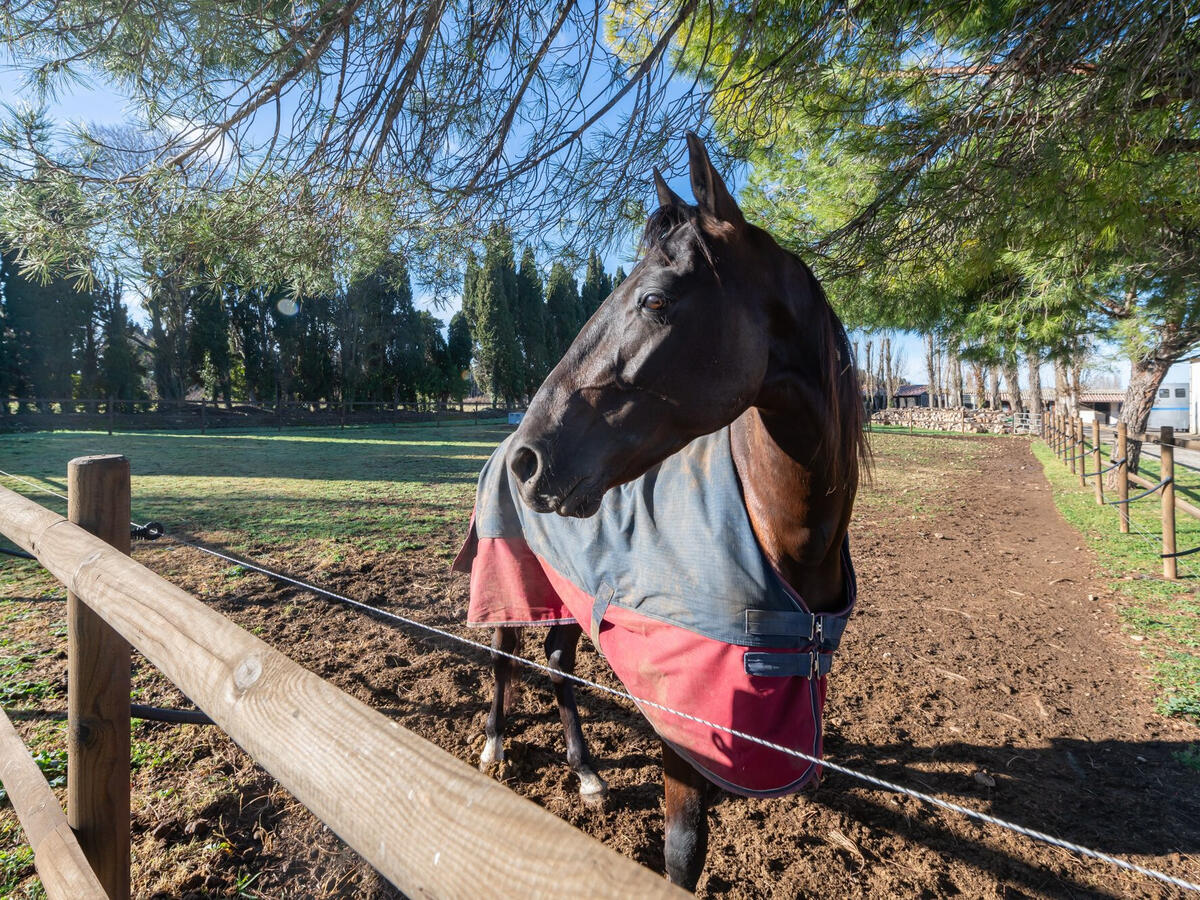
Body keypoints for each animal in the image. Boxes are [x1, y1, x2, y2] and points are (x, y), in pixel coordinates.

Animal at [465, 133, 864, 888]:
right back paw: (496, 746)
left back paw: (588, 775)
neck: (778, 536)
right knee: (504, 655)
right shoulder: (684, 722)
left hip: (570, 593)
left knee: (558, 664)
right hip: (514, 578)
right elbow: (682, 851)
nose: (533, 458)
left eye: (655, 299)